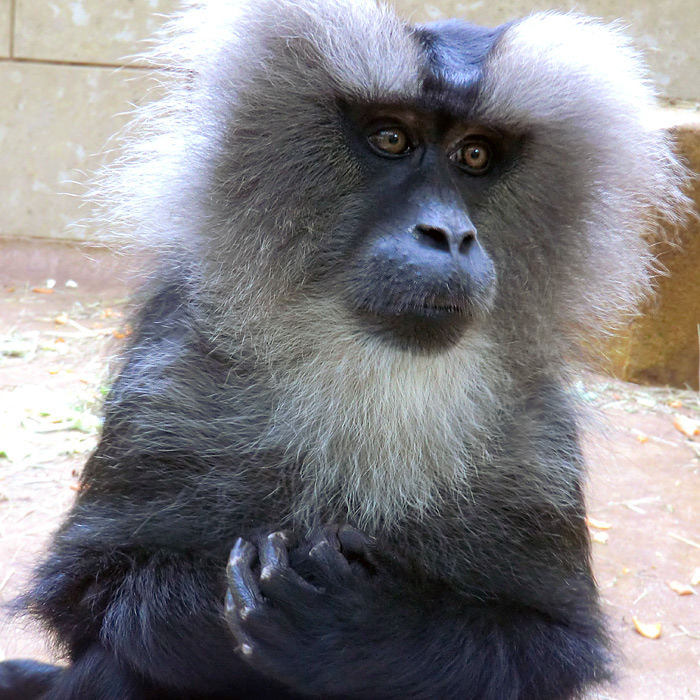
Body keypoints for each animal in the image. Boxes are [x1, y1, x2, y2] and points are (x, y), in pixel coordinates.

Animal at [0, 0, 688, 696]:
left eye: (474, 154)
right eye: (391, 139)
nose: (449, 235)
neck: (369, 372)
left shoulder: (537, 443)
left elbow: (549, 643)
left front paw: (354, 629)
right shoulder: (168, 376)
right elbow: (93, 588)